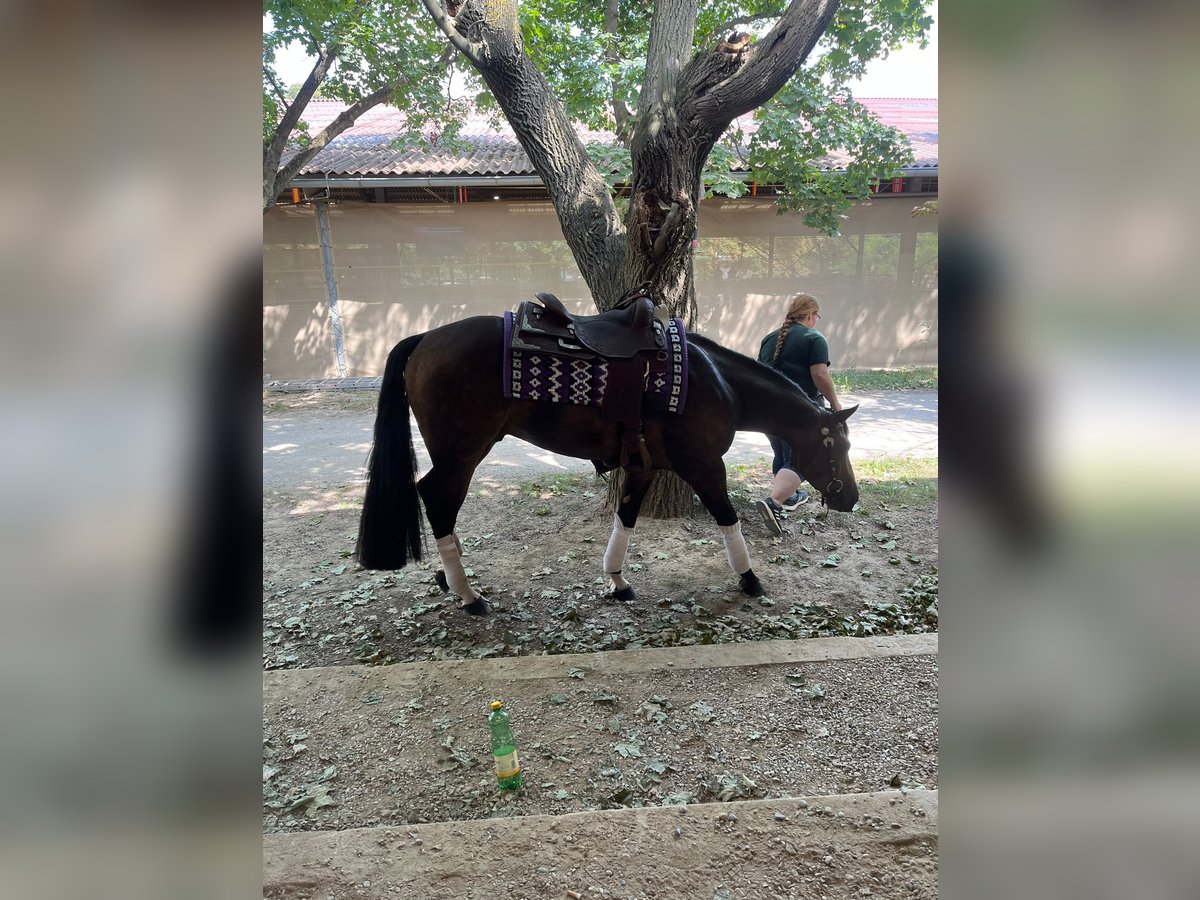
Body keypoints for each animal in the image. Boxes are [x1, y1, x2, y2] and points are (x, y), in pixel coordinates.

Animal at [350, 314, 859, 619]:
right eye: (839, 446)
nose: (850, 498)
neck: (717, 381)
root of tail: (425, 338)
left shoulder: (643, 467)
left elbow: (626, 519)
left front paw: (617, 581)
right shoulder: (703, 465)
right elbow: (727, 519)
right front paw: (750, 579)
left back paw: (449, 580)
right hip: (462, 454)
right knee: (437, 499)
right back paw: (468, 594)